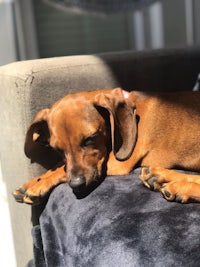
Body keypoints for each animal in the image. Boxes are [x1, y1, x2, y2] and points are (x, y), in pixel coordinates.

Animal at [12, 88, 200, 205]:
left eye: (90, 138)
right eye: (57, 149)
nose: (77, 185)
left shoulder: (117, 163)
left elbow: (60, 170)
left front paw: (39, 186)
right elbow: (59, 166)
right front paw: (33, 182)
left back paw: (179, 187)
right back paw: (160, 176)